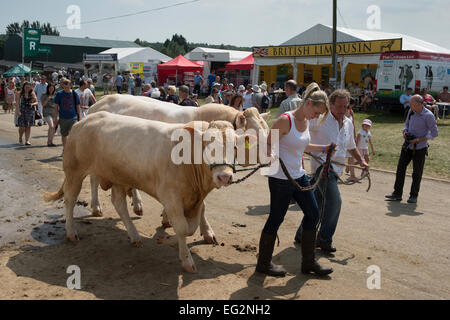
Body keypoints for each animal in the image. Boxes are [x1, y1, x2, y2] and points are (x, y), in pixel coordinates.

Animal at [43, 112, 250, 272]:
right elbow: (183, 228)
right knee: (70, 199)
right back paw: (71, 232)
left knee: (119, 204)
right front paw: (186, 259)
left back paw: (134, 236)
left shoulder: (196, 200)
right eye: (207, 145)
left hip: (118, 176)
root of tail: (83, 120)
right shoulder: (171, 197)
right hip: (74, 171)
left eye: (235, 147)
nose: (224, 176)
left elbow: (190, 227)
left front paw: (172, 238)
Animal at [89, 94, 270, 241]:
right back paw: (96, 207)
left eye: (267, 131)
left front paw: (166, 218)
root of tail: (99, 102)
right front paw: (207, 232)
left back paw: (137, 204)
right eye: (255, 136)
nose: (272, 156)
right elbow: (202, 207)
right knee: (93, 180)